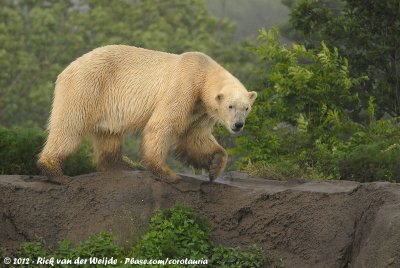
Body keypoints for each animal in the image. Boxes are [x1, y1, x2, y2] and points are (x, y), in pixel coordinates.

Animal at [37, 46, 256, 184]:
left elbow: (194, 138)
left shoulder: (200, 110)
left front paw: (214, 166)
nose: (238, 125)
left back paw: (122, 165)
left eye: (246, 108)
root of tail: (66, 70)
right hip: (88, 86)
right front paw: (168, 174)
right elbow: (161, 126)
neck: (203, 73)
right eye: (230, 106)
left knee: (108, 134)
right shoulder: (183, 87)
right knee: (70, 126)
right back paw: (55, 172)